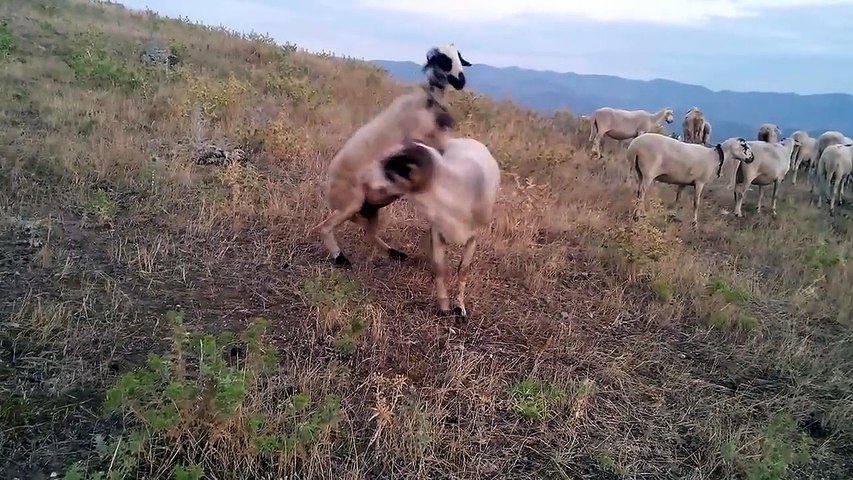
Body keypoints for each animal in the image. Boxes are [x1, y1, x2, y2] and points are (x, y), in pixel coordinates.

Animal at [309, 84, 457, 268]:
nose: (451, 120)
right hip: (352, 204)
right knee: (322, 228)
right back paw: (341, 258)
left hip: (370, 210)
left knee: (369, 234)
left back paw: (395, 253)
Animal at [374, 137, 501, 318]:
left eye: (393, 168)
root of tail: (468, 139)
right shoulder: (438, 232)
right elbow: (441, 269)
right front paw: (444, 307)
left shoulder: (473, 238)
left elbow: (463, 271)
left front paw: (460, 308)